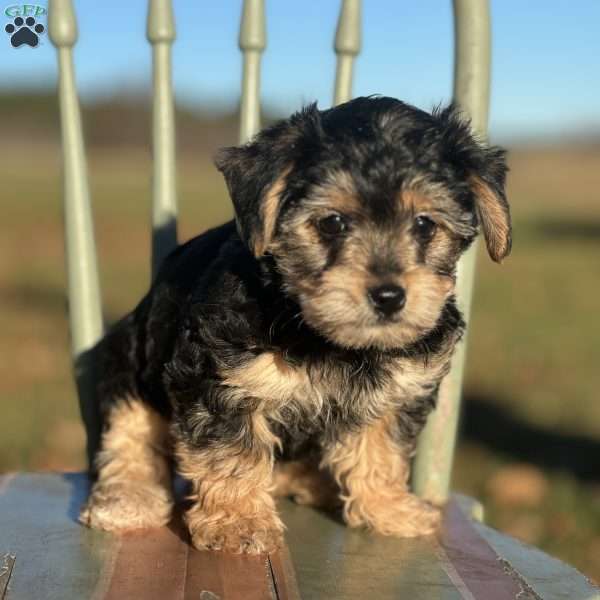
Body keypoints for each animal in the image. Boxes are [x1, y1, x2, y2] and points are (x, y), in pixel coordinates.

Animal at [79, 97, 510, 552]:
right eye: (332, 223)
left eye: (425, 224)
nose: (389, 297)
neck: (329, 338)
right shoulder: (219, 381)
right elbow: (231, 452)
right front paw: (238, 522)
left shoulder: (399, 389)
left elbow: (382, 449)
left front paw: (389, 509)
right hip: (128, 354)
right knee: (129, 432)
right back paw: (129, 498)